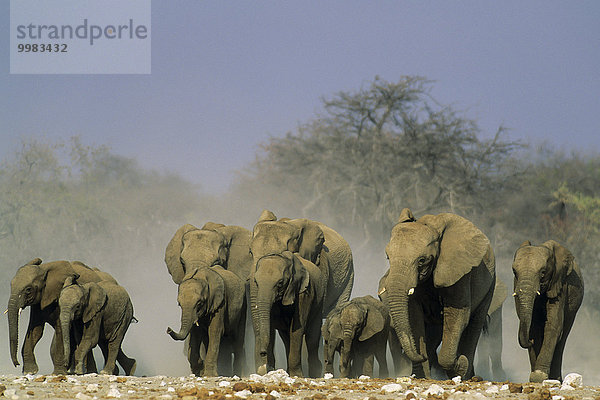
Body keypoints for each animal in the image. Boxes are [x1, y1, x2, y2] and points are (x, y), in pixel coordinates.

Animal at [382, 208, 494, 380]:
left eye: (421, 260)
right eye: (388, 257)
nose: (421, 356)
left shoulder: (459, 272)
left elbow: (458, 315)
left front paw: (460, 366)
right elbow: (414, 316)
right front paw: (422, 376)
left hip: (490, 284)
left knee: (474, 324)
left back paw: (467, 374)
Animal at [512, 239, 584, 382]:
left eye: (543, 272)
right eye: (514, 272)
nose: (530, 341)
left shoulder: (560, 285)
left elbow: (553, 325)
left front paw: (539, 376)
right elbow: (534, 327)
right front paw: (536, 377)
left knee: (563, 337)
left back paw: (556, 379)